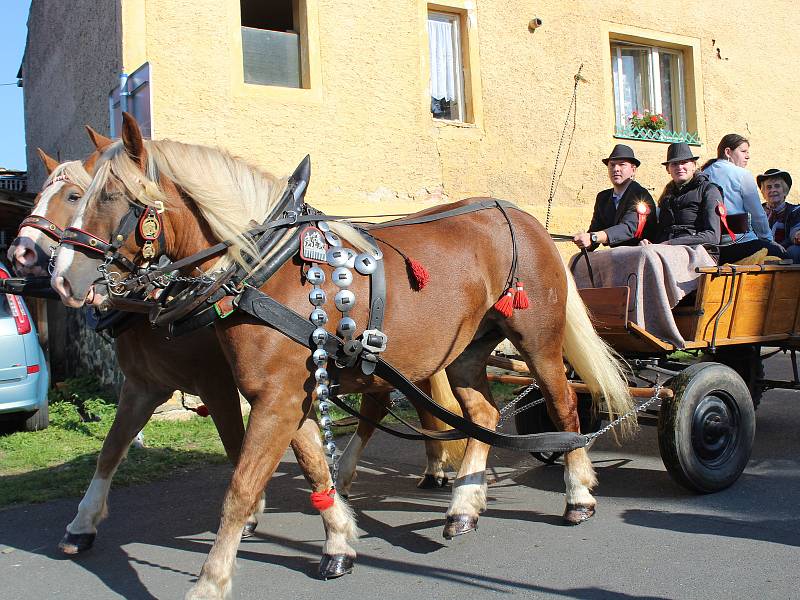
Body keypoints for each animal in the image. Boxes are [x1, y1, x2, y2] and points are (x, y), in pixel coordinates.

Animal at [53, 113, 636, 600]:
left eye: (108, 196)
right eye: (79, 194)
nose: (63, 279)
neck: (263, 267)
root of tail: (518, 214)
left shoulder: (274, 398)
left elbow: (241, 487)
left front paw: (211, 581)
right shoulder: (286, 394)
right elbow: (315, 468)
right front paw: (338, 540)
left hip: (538, 339)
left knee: (562, 404)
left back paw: (577, 493)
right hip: (465, 351)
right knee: (484, 416)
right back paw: (464, 505)